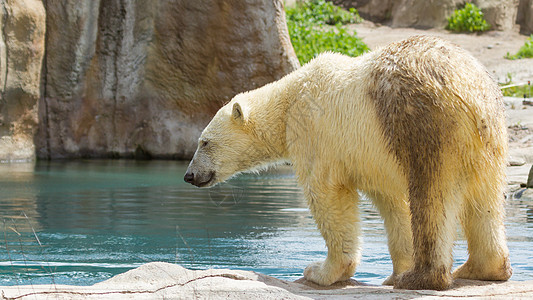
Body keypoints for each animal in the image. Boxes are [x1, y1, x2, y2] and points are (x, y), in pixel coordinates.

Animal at [183, 35, 512, 290]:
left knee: (432, 195)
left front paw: (321, 271)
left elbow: (327, 195)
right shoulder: (375, 162)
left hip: (424, 123)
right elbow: (393, 204)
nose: (189, 175)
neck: (289, 101)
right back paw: (481, 268)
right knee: (484, 200)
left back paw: (423, 278)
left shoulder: (316, 134)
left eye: (204, 142)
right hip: (489, 138)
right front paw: (395, 273)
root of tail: (471, 95)